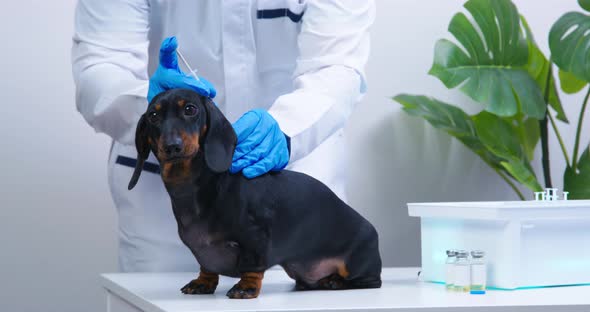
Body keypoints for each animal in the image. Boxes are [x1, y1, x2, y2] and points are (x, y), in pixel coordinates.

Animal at [128, 89, 384, 298]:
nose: (172, 147)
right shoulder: (202, 252)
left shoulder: (255, 238)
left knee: (370, 281)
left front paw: (246, 287)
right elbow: (206, 268)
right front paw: (203, 282)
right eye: (153, 116)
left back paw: (336, 281)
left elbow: (252, 267)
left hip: (359, 263)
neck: (192, 187)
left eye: (190, 109)